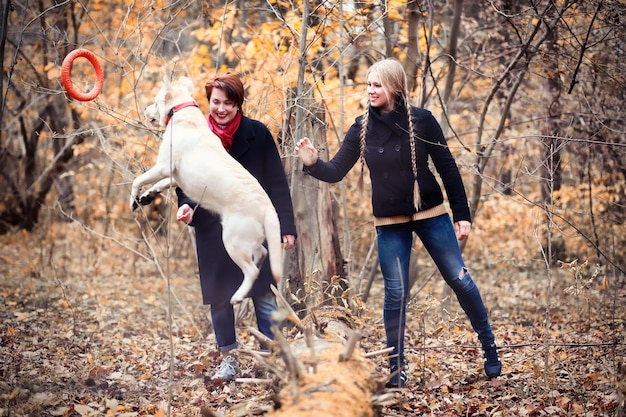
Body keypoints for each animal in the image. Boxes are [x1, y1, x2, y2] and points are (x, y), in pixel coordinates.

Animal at [130, 74, 282, 302]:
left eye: (156, 102)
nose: (146, 109)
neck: (181, 112)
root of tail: (268, 208)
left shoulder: (164, 166)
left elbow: (138, 180)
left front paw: (134, 198)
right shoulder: (174, 175)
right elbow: (159, 184)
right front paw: (148, 195)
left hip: (232, 240)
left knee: (252, 271)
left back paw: (238, 295)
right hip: (249, 239)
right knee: (262, 254)